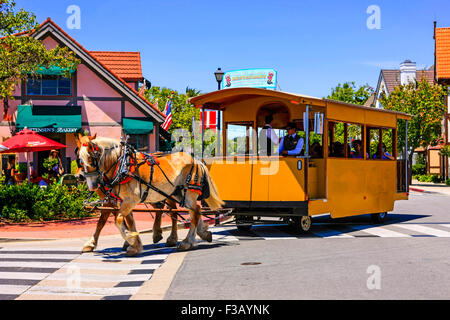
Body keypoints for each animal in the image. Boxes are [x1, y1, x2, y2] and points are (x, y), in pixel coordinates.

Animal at [79, 134, 225, 256]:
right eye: (80, 161)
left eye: (91, 159)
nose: (91, 183)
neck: (122, 165)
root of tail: (196, 160)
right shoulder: (122, 201)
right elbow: (127, 221)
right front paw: (135, 244)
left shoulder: (130, 200)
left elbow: (118, 220)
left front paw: (130, 238)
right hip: (177, 193)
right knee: (195, 211)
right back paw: (201, 234)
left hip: (187, 193)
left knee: (193, 213)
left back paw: (186, 242)